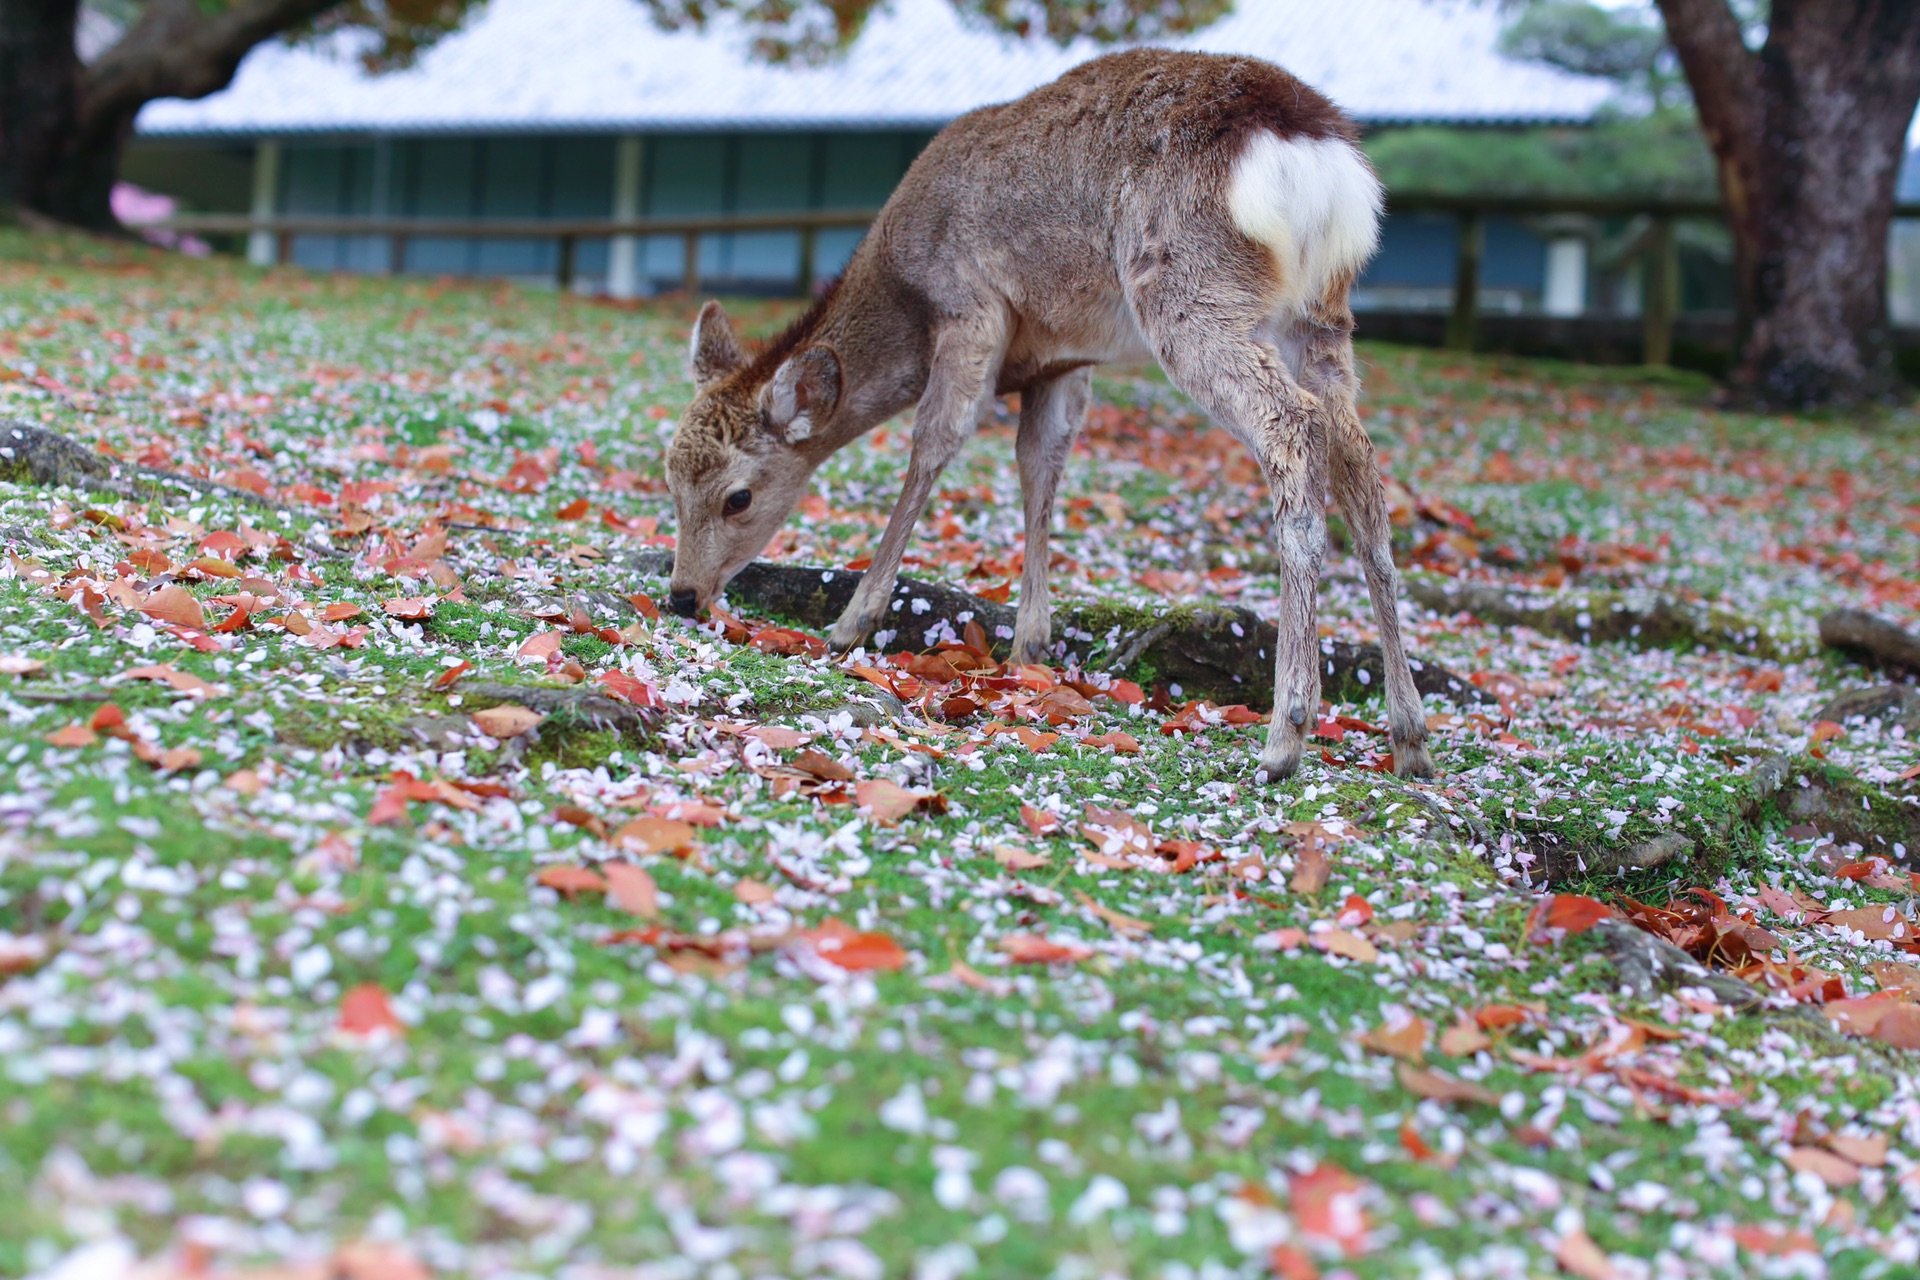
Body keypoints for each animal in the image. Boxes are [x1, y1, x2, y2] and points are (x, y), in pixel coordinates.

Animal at [663, 47, 1433, 782]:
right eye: (669, 479)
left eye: (738, 497)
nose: (682, 596)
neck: (905, 294)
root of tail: (1317, 158)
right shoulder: (1061, 361)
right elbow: (1040, 466)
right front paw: (1029, 644)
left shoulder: (970, 306)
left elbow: (932, 445)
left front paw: (851, 623)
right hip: (1321, 317)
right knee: (1361, 469)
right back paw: (1409, 738)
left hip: (1191, 286)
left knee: (1291, 427)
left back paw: (1285, 738)